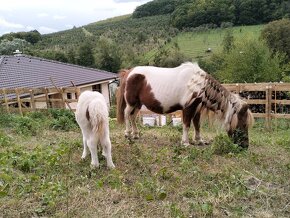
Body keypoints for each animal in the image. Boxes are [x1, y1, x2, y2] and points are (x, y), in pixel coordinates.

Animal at [116, 62, 253, 149]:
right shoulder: (188, 108)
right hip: (131, 103)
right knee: (127, 115)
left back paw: (136, 134)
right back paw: (128, 134)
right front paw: (185, 142)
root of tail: (129, 72)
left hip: (138, 104)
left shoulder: (197, 109)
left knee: (133, 117)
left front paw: (199, 140)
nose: (245, 146)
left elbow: (197, 125)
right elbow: (187, 124)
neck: (199, 85)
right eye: (244, 124)